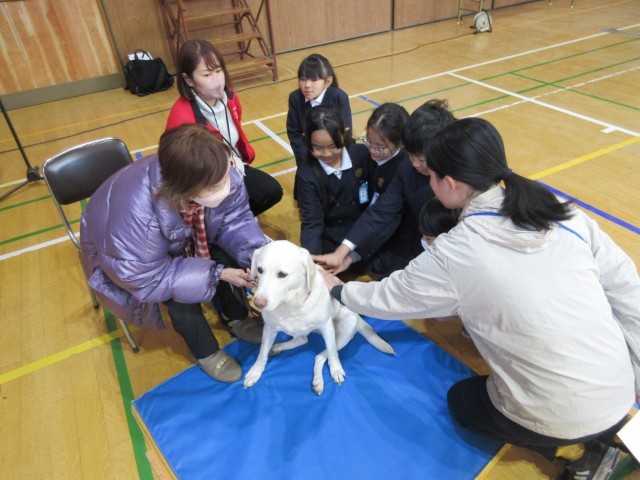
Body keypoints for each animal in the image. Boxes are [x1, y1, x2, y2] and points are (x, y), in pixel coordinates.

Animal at [243, 240, 395, 395]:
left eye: (282, 274)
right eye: (260, 270)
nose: (258, 303)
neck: (291, 304)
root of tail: (357, 316)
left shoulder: (327, 327)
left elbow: (332, 353)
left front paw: (336, 368)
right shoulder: (269, 329)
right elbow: (262, 353)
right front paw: (255, 372)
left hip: (345, 331)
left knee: (320, 356)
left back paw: (319, 380)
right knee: (303, 340)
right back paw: (278, 347)